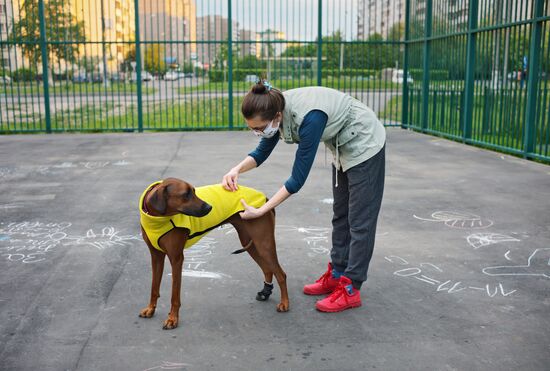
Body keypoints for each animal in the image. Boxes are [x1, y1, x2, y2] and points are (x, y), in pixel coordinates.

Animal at [138, 179, 288, 330]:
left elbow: (175, 295)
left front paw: (172, 319)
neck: (156, 219)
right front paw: (150, 309)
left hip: (263, 243)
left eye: (193, 191)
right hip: (250, 242)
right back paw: (265, 293)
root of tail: (266, 199)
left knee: (281, 274)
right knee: (267, 268)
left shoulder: (176, 258)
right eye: (186, 194)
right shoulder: (156, 257)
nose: (209, 207)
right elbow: (154, 287)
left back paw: (285, 303)